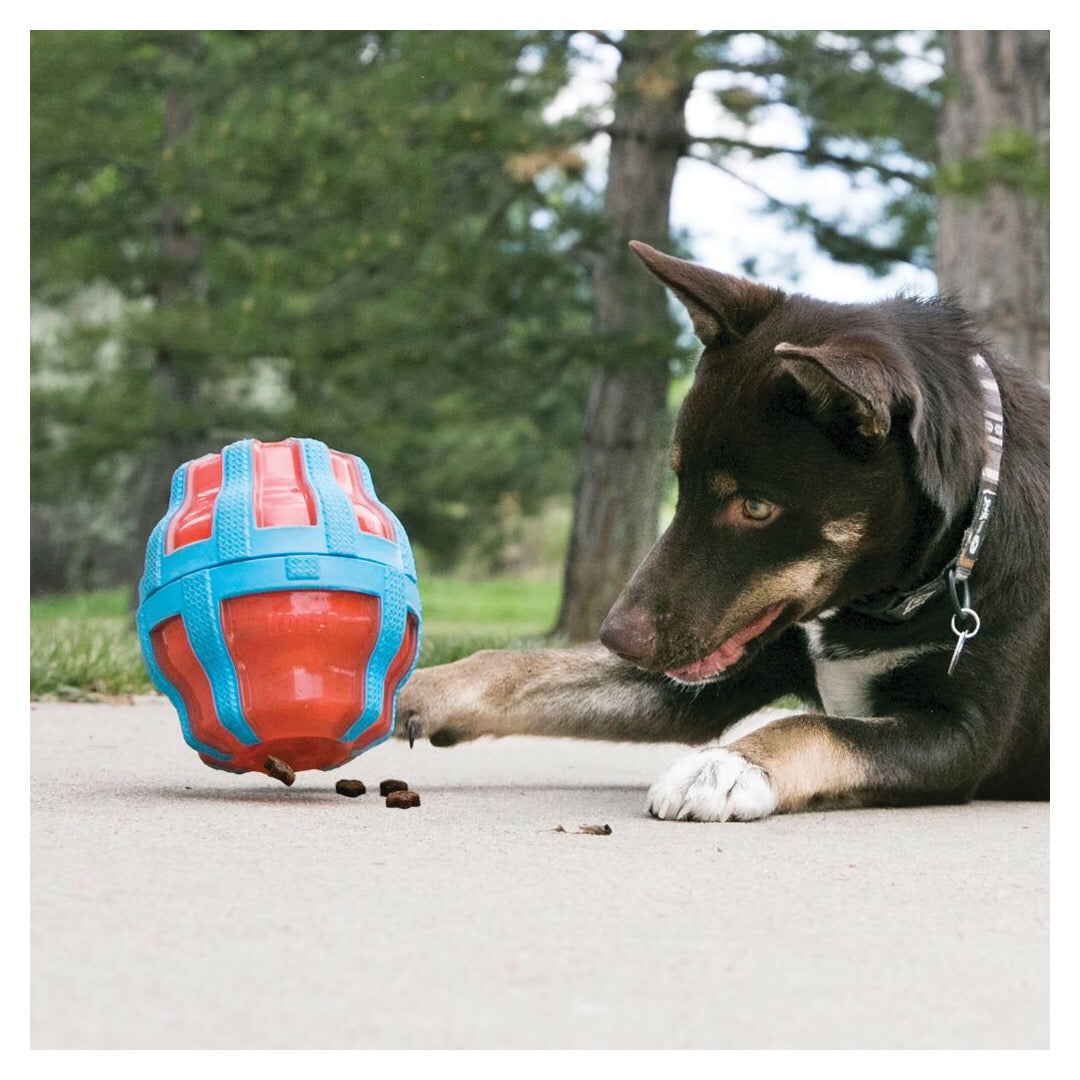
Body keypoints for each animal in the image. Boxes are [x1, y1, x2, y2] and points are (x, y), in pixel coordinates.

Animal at [397, 243, 1045, 816]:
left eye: (755, 507)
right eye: (679, 480)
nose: (617, 638)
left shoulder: (962, 736)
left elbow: (813, 727)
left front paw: (726, 767)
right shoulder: (731, 664)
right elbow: (518, 665)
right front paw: (407, 688)